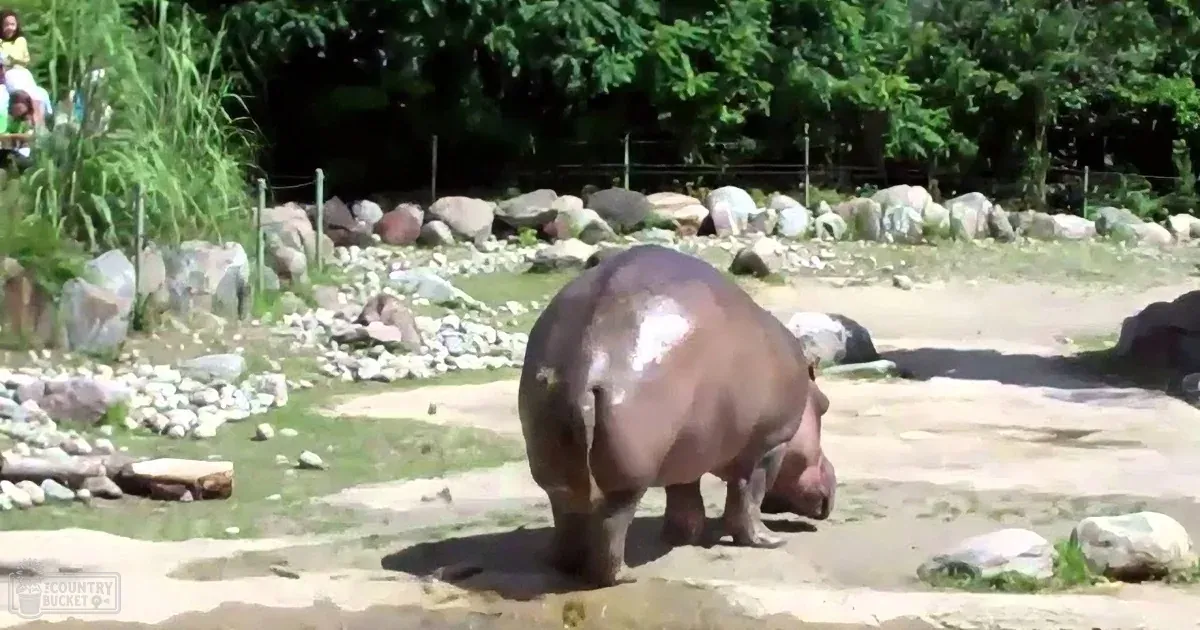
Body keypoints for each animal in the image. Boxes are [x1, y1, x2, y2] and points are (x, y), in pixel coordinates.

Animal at [518, 244, 834, 587]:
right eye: (825, 405)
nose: (832, 478)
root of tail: (588, 359)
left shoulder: (687, 449)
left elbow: (685, 495)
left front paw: (682, 537)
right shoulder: (769, 445)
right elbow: (748, 497)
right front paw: (769, 540)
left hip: (556, 467)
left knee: (566, 512)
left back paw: (561, 563)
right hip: (628, 478)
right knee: (611, 525)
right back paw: (625, 576)